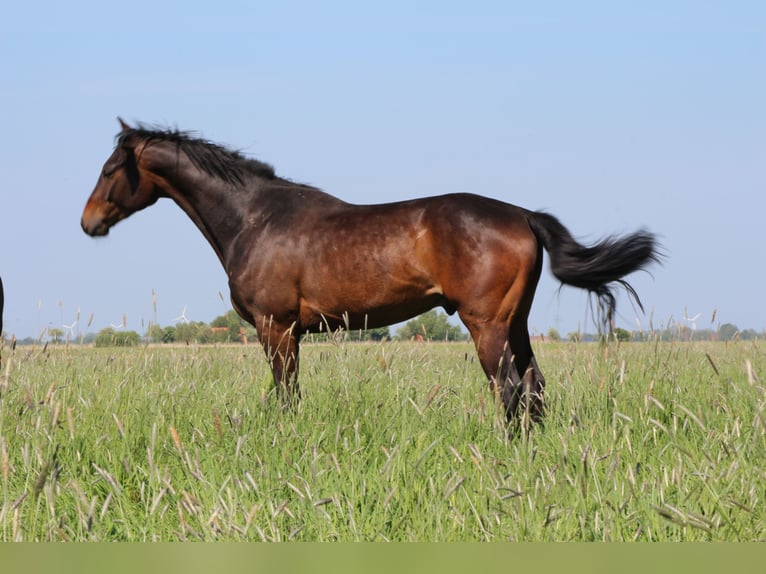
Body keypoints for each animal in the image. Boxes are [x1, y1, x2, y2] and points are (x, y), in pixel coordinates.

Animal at [82, 120, 660, 428]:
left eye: (110, 171)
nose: (87, 223)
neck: (255, 216)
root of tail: (522, 215)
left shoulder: (276, 328)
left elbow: (286, 395)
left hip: (488, 326)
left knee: (511, 390)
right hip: (515, 324)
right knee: (535, 387)